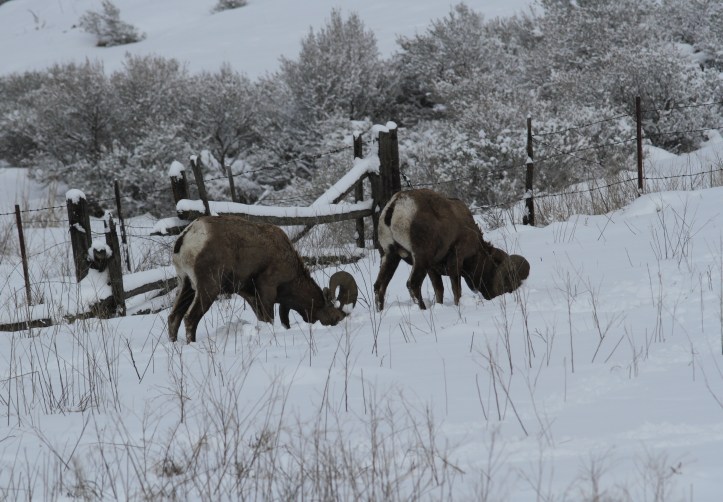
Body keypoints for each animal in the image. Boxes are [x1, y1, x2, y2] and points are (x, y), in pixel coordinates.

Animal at [168, 215, 358, 343]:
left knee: (174, 318)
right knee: (190, 318)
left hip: (186, 286)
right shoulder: (267, 291)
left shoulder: (251, 296)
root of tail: (187, 237)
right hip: (208, 289)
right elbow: (269, 319)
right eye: (335, 318)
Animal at [373, 189, 529, 310]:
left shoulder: (433, 269)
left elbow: (439, 291)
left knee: (379, 286)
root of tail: (396, 205)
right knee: (413, 284)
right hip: (420, 259)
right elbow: (456, 290)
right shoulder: (456, 260)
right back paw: (423, 309)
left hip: (390, 256)